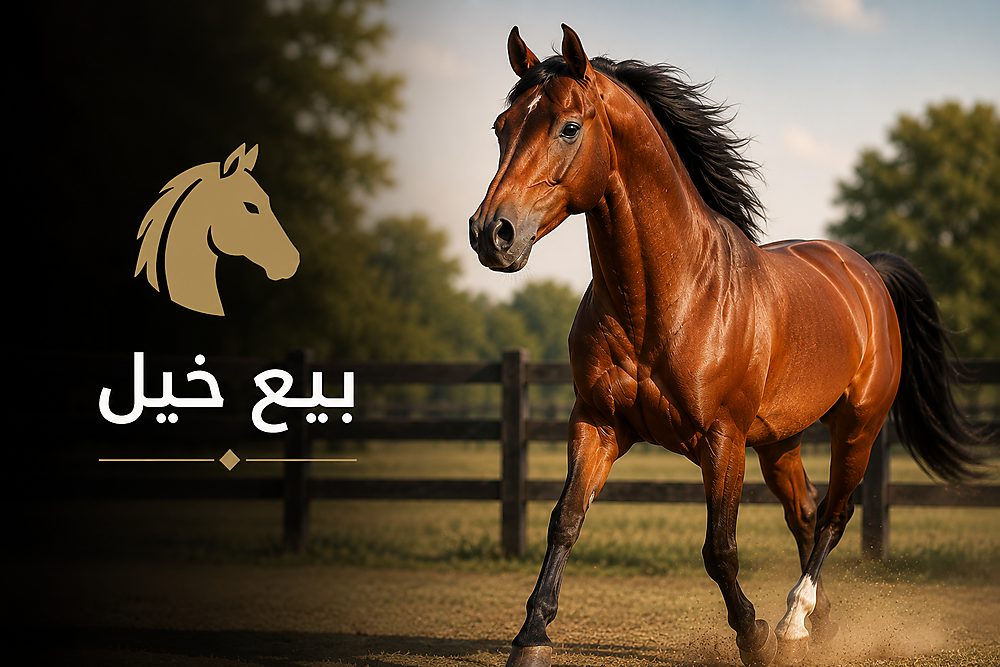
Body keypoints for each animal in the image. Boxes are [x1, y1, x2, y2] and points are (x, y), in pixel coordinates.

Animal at [469, 25, 984, 667]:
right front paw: (531, 636)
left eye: (568, 126)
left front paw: (753, 635)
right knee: (805, 513)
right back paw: (820, 624)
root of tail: (865, 271)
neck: (668, 298)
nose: (492, 233)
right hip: (780, 440)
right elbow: (565, 520)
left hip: (858, 426)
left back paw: (793, 620)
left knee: (835, 515)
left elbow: (720, 548)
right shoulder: (596, 423)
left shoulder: (722, 439)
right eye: (501, 125)